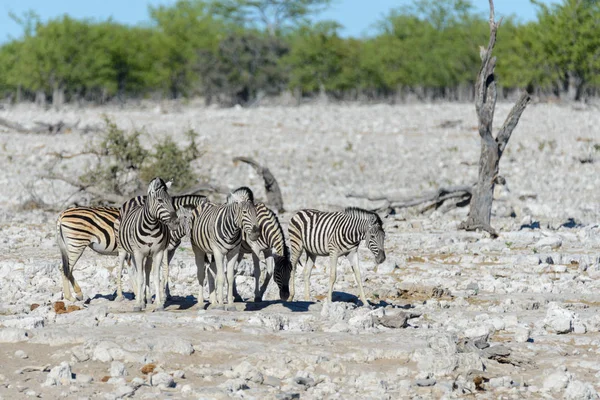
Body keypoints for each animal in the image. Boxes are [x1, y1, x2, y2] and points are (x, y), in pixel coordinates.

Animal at [56, 195, 206, 302]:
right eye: (191, 217)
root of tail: (63, 213)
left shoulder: (167, 251)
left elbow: (153, 271)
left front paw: (159, 294)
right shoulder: (161, 250)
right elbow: (162, 270)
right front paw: (156, 295)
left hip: (72, 245)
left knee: (65, 268)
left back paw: (75, 294)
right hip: (77, 244)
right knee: (66, 268)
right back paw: (72, 296)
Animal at [114, 178, 176, 312]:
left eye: (171, 200)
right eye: (160, 200)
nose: (176, 222)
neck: (151, 227)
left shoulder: (158, 252)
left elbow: (155, 277)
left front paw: (158, 304)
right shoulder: (138, 253)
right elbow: (140, 278)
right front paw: (138, 304)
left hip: (146, 254)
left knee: (146, 270)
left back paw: (146, 299)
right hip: (123, 249)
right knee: (122, 268)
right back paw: (123, 296)